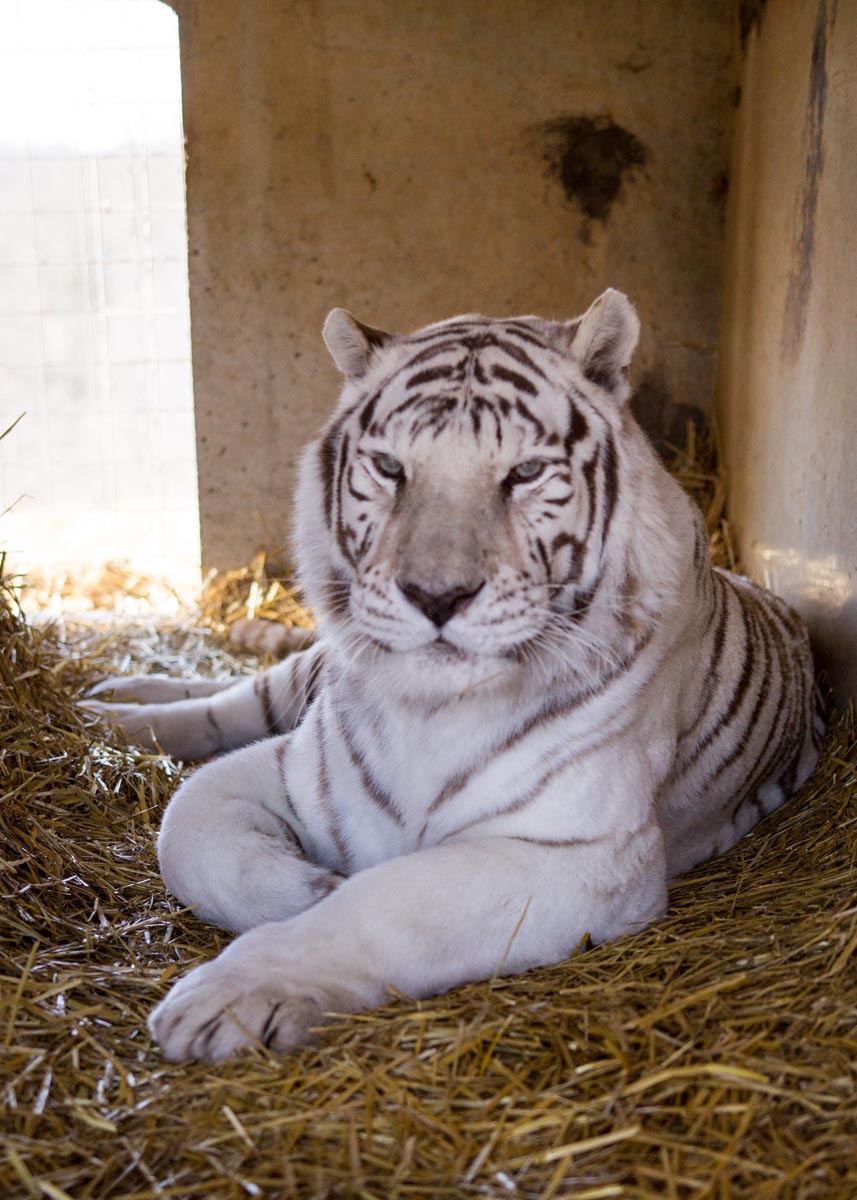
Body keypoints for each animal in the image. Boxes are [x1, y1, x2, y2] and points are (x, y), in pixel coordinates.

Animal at [87, 288, 823, 1062]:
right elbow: (185, 826)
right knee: (233, 699)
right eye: (389, 467)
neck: (429, 708)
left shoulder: (583, 854)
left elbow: (382, 901)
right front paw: (308, 884)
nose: (436, 596)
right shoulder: (294, 767)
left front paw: (236, 991)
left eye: (525, 473)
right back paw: (113, 708)